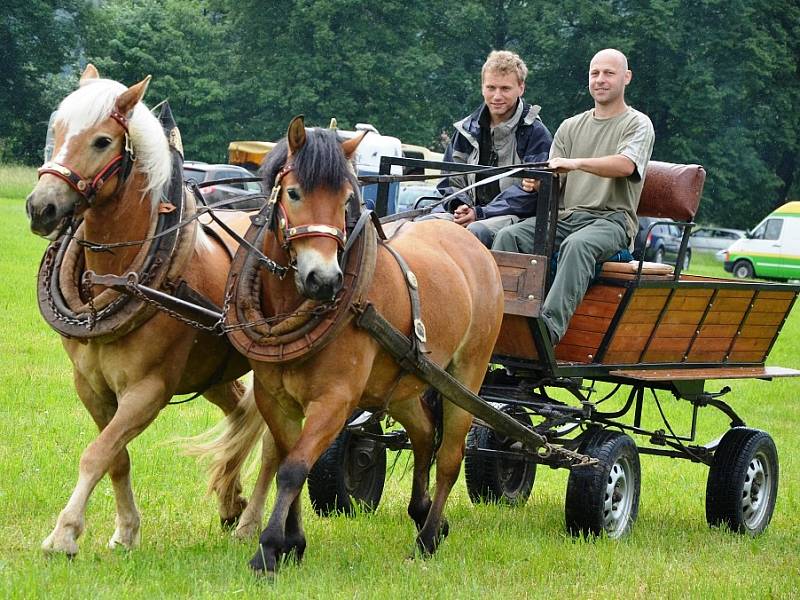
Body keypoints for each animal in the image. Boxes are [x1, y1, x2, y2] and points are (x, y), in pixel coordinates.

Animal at [25, 63, 276, 556]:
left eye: (102, 141)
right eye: (57, 129)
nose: (41, 206)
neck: (118, 274)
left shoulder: (148, 390)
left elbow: (96, 453)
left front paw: (64, 533)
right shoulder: (91, 386)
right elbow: (115, 457)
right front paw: (125, 530)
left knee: (276, 444)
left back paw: (250, 523)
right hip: (214, 370)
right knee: (239, 413)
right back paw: (230, 500)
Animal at [209, 117, 504, 572]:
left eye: (347, 198)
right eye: (293, 193)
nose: (325, 280)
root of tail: (471, 241)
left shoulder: (335, 400)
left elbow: (294, 467)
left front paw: (270, 548)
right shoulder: (273, 397)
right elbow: (290, 460)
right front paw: (293, 542)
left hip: (467, 376)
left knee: (450, 457)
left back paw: (427, 538)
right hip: (403, 383)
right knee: (424, 433)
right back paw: (424, 515)